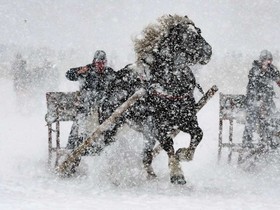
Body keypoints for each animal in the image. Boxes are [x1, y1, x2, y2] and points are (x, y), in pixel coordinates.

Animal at [97, 14, 211, 185]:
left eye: (198, 31)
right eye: (185, 37)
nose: (208, 51)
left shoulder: (185, 119)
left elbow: (198, 133)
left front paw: (183, 154)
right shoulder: (159, 127)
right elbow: (169, 145)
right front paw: (177, 173)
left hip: (147, 133)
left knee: (146, 155)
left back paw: (151, 175)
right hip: (112, 127)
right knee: (105, 147)